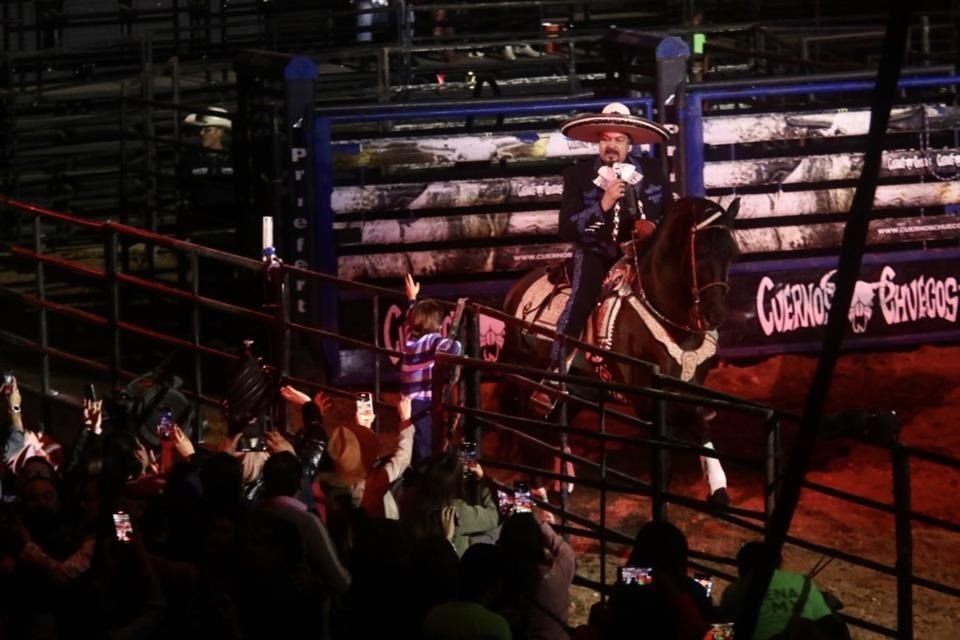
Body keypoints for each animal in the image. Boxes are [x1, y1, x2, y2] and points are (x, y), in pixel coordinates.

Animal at [502, 198, 744, 502]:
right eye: (698, 252)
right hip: (527, 384)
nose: (715, 315)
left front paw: (719, 489)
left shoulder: (689, 390)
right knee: (530, 433)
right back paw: (539, 493)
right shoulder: (649, 402)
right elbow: (666, 456)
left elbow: (701, 427)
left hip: (578, 390)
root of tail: (514, 293)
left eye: (731, 253)